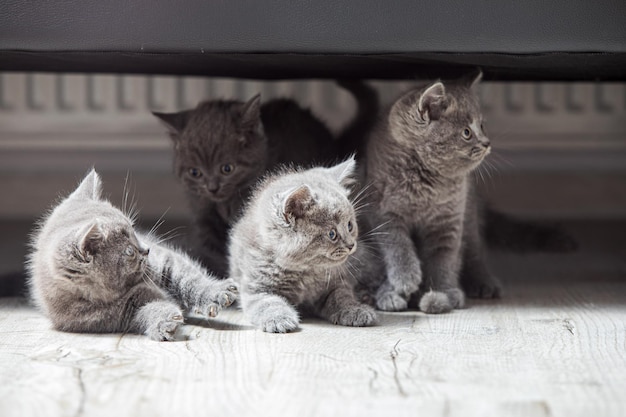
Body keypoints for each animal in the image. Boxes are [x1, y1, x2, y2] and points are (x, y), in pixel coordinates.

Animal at [25, 170, 238, 342]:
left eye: (134, 231)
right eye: (129, 251)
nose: (146, 249)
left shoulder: (163, 259)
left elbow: (187, 278)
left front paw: (216, 292)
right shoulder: (109, 316)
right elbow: (143, 312)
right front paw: (163, 322)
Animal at [229, 156, 376, 332]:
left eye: (349, 226)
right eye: (332, 234)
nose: (351, 245)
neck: (306, 272)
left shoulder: (337, 281)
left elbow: (342, 295)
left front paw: (355, 309)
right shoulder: (255, 288)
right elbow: (268, 302)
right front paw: (279, 319)